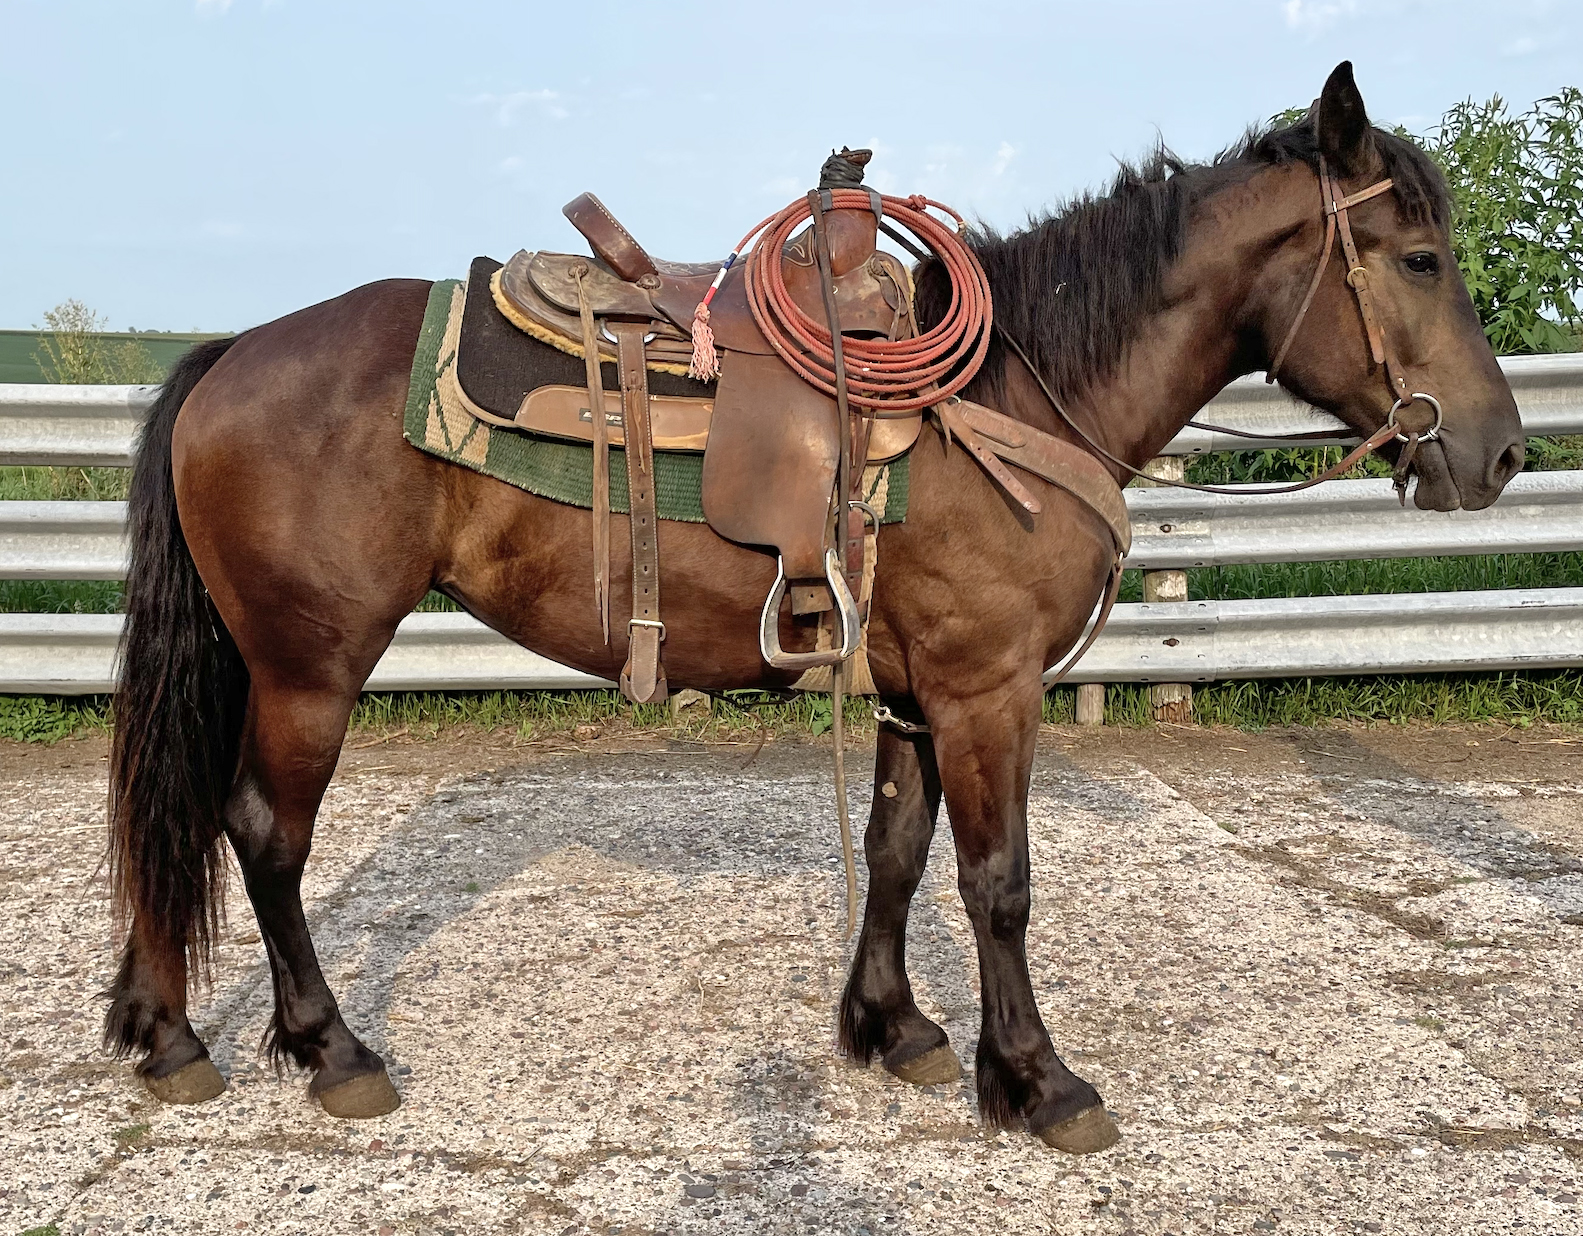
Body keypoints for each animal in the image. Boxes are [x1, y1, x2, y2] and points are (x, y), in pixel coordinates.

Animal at [103, 62, 1523, 1154]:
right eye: (1416, 257)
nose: (1500, 453)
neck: (1013, 396)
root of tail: (229, 354)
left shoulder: (910, 694)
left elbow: (895, 853)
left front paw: (894, 1029)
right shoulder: (984, 691)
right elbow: (998, 882)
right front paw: (1038, 1081)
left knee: (176, 812)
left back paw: (166, 1035)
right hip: (310, 667)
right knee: (262, 833)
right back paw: (331, 1050)